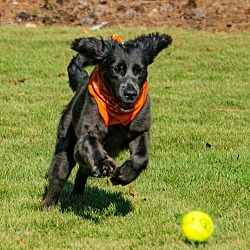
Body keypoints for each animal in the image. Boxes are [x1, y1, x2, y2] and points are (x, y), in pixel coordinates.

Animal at [41, 33, 173, 209]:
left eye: (140, 71)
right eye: (116, 69)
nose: (130, 93)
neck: (118, 112)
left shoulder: (140, 130)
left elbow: (142, 156)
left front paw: (123, 175)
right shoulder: (88, 131)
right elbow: (90, 142)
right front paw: (104, 164)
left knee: (82, 171)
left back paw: (77, 195)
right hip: (65, 139)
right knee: (59, 172)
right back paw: (48, 205)